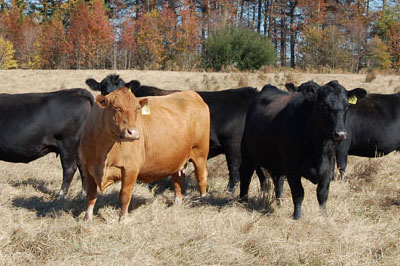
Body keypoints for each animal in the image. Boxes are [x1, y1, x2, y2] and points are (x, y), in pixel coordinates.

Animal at [79, 87, 209, 220]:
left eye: (137, 109)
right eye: (116, 108)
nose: (133, 133)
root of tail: (190, 93)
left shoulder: (130, 169)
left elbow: (125, 195)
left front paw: (123, 219)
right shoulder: (86, 167)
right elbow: (91, 195)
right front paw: (87, 218)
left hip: (200, 153)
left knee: (201, 177)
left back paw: (203, 202)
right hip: (177, 158)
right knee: (178, 180)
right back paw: (176, 205)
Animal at [239, 81, 368, 218]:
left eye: (346, 106)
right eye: (324, 106)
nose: (340, 134)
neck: (318, 147)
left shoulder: (328, 168)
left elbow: (322, 194)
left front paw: (324, 215)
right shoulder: (292, 169)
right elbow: (299, 193)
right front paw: (297, 216)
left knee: (278, 180)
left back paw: (280, 203)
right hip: (247, 153)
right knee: (245, 176)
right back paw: (242, 201)